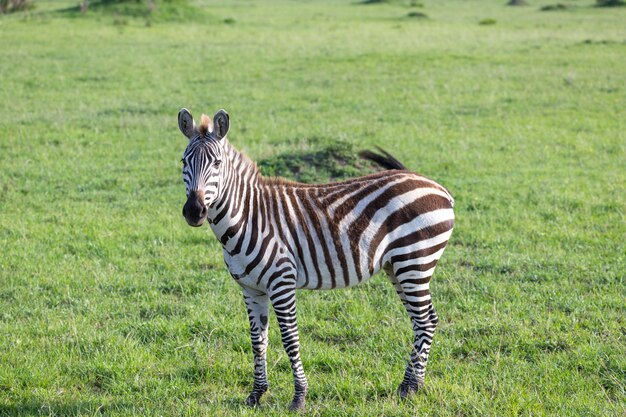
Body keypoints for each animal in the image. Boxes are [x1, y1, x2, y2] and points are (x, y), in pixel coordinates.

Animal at [176, 107, 454, 410]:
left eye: (216, 163)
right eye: (183, 161)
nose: (194, 211)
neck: (248, 216)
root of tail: (436, 186)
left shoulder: (281, 282)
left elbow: (290, 339)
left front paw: (299, 397)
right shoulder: (251, 288)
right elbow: (257, 341)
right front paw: (256, 394)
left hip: (414, 262)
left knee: (425, 320)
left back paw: (410, 387)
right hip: (399, 267)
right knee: (424, 319)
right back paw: (410, 385)